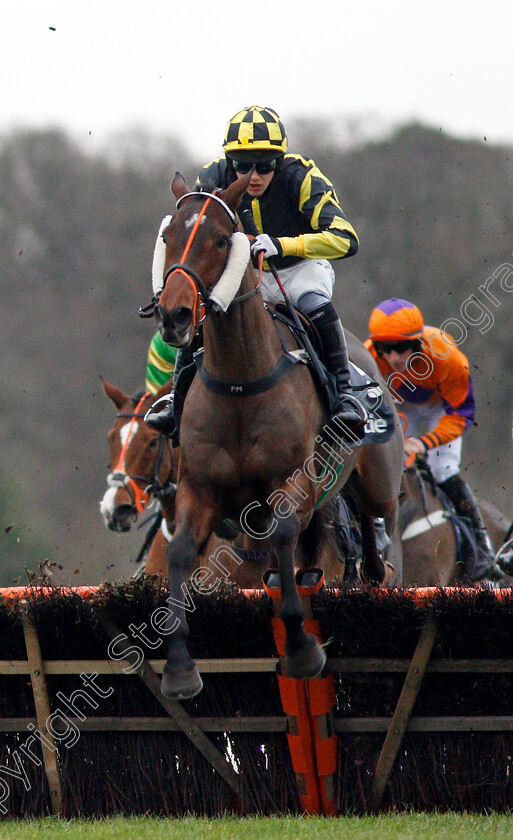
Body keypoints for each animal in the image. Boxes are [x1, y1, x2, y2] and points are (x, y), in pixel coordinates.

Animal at [149, 172, 404, 704]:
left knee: (375, 539)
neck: (241, 380)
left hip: (376, 486)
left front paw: (302, 649)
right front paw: (180, 669)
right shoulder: (199, 488)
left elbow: (282, 536)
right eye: (169, 236)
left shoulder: (292, 482)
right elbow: (181, 552)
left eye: (220, 240)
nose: (175, 316)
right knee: (319, 557)